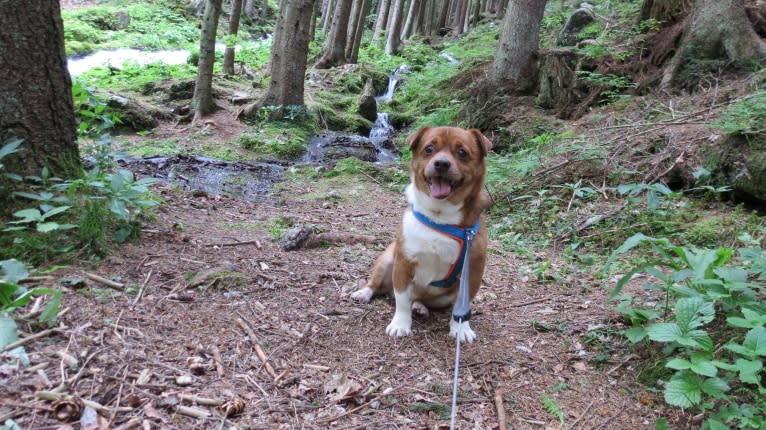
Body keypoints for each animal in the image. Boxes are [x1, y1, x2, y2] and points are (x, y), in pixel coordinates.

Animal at [352, 125, 492, 342]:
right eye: (429, 149)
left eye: (462, 152)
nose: (441, 163)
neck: (439, 217)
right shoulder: (403, 264)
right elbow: (402, 300)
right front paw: (400, 324)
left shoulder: (472, 271)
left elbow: (463, 305)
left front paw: (461, 328)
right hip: (387, 260)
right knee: (378, 285)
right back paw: (365, 293)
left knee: (420, 299)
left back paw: (420, 307)